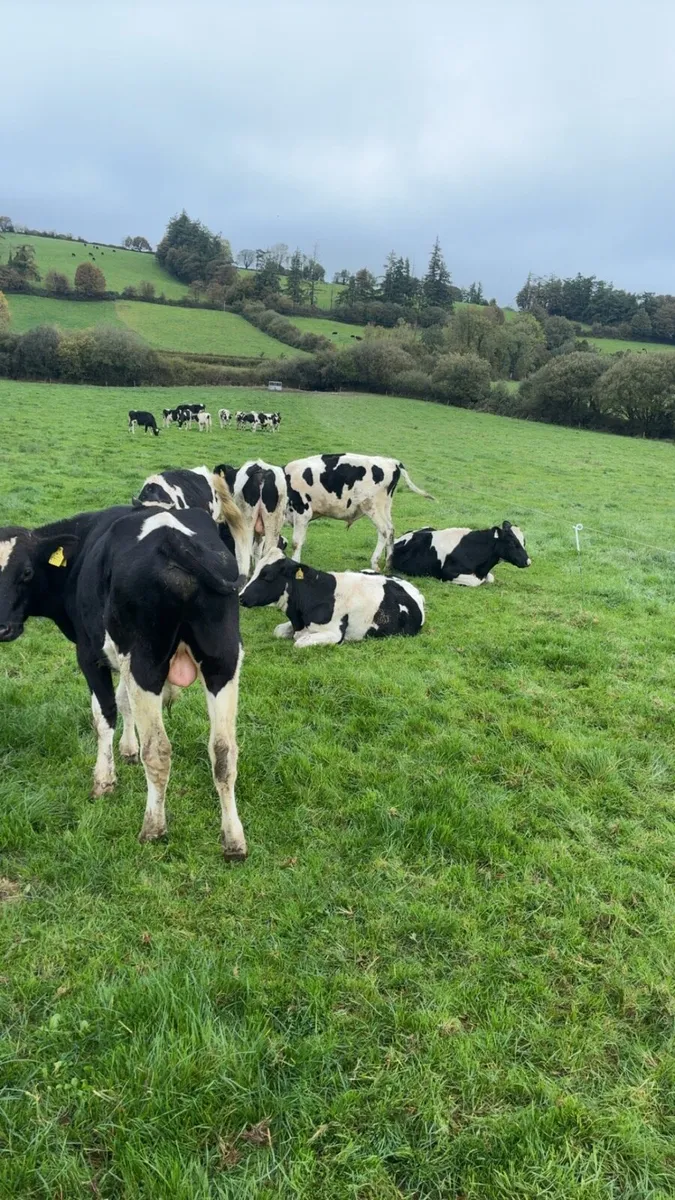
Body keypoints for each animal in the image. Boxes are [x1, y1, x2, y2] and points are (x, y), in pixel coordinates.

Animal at [0, 506, 247, 858]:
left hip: (146, 661)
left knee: (158, 750)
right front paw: (128, 749)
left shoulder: (90, 656)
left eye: (27, 573)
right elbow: (124, 701)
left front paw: (104, 780)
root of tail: (172, 538)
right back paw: (234, 839)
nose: (2, 628)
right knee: (224, 750)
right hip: (223, 659)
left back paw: (153, 828)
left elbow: (104, 714)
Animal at [284, 453, 435, 572]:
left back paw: (375, 563)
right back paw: (388, 563)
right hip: (384, 506)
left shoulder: (302, 512)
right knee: (389, 529)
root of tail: (392, 462)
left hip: (371, 506)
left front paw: (295, 562)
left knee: (385, 530)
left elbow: (296, 542)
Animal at [391, 521, 531, 586]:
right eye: (512, 543)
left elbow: (490, 578)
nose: (528, 562)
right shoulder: (447, 572)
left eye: (524, 541)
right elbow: (476, 581)